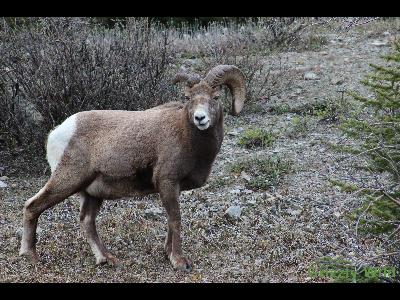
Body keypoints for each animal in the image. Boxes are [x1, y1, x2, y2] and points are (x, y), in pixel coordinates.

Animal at [20, 64, 247, 270]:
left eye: (215, 98)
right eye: (189, 98)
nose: (200, 118)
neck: (186, 136)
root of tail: (58, 131)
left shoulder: (172, 188)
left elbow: (170, 220)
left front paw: (168, 254)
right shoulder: (167, 182)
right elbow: (175, 219)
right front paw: (179, 261)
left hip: (92, 192)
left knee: (86, 220)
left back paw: (106, 259)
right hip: (67, 180)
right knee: (33, 206)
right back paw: (31, 257)